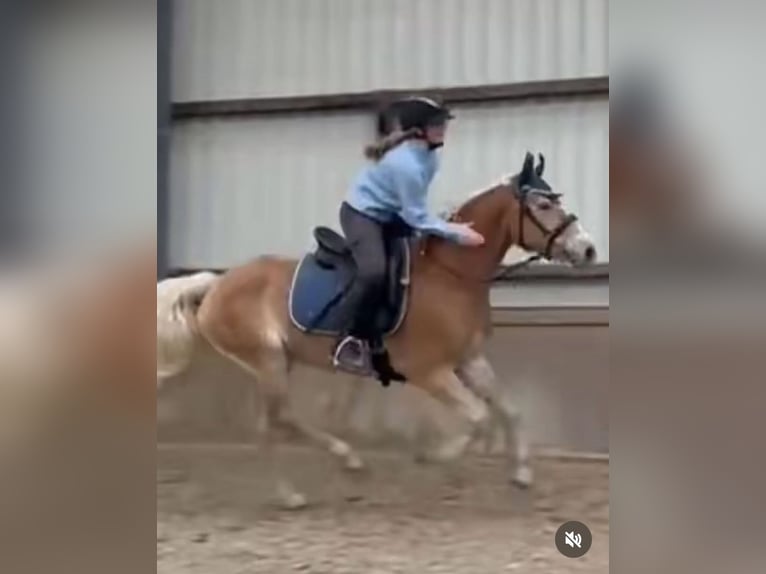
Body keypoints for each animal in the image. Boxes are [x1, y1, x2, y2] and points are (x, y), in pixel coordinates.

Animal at [165, 151, 597, 508]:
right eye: (544, 204)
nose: (589, 249)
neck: (451, 276)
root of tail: (215, 285)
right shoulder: (429, 371)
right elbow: (478, 417)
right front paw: (433, 457)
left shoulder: (469, 360)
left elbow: (510, 409)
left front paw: (522, 474)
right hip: (267, 358)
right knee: (283, 417)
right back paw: (348, 463)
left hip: (276, 361)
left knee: (270, 423)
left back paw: (290, 494)